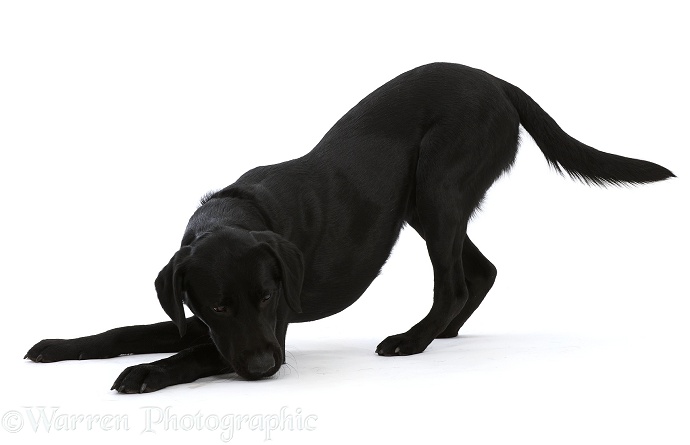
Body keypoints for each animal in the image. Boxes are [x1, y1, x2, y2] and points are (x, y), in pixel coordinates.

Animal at [25, 63, 672, 392]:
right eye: (218, 305)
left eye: (267, 295)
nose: (264, 370)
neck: (234, 211)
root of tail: (496, 81)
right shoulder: (197, 320)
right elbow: (122, 330)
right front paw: (55, 347)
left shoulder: (274, 332)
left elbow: (191, 356)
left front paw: (143, 372)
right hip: (424, 204)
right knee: (481, 271)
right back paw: (443, 334)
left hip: (437, 186)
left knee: (455, 281)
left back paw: (413, 339)